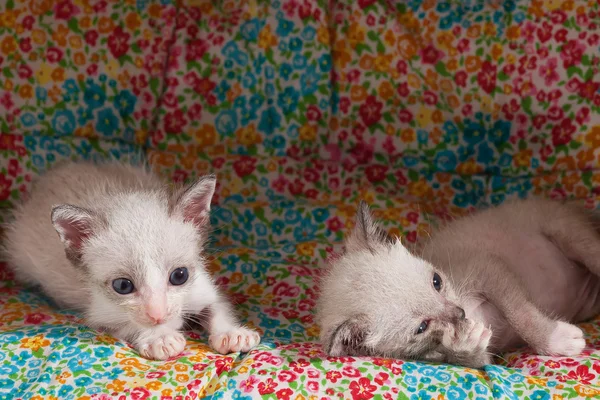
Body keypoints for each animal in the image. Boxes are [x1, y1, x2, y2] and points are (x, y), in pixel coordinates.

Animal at [4, 161, 260, 360]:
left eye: (179, 276)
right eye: (123, 286)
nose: (157, 315)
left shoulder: (203, 286)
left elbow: (218, 306)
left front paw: (231, 333)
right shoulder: (99, 312)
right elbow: (128, 324)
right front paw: (160, 337)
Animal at [314, 198, 600, 368]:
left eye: (437, 281)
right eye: (422, 327)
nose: (461, 313)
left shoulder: (488, 268)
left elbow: (521, 314)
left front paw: (556, 341)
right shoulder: (487, 353)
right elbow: (473, 360)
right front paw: (465, 345)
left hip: (567, 232)